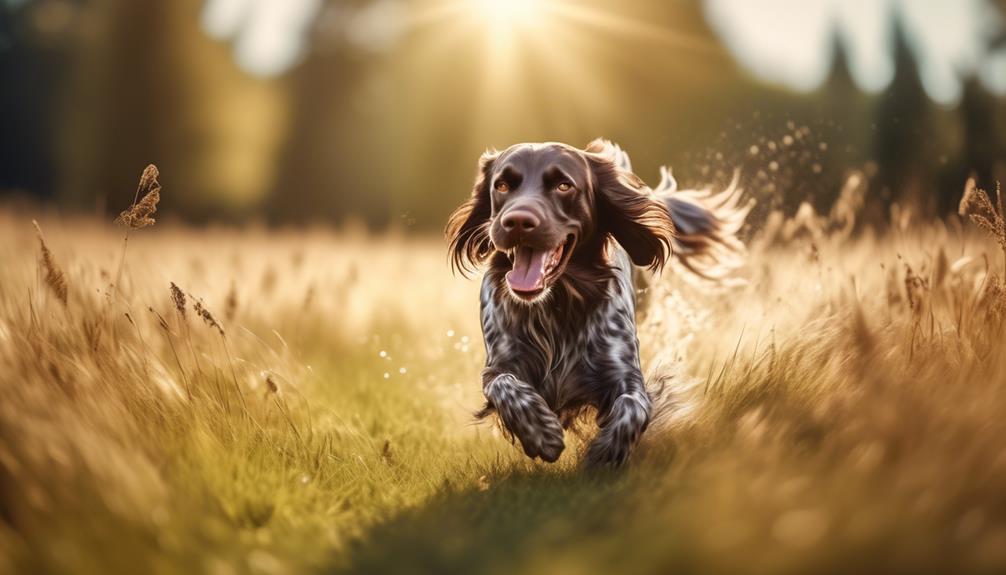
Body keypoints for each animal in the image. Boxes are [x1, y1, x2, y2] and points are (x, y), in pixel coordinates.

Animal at [446, 140, 748, 466]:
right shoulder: (499, 364)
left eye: (564, 185)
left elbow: (633, 406)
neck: (558, 306)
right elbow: (505, 385)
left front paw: (605, 453)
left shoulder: (624, 372)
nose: (517, 222)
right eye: (501, 185)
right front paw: (541, 432)